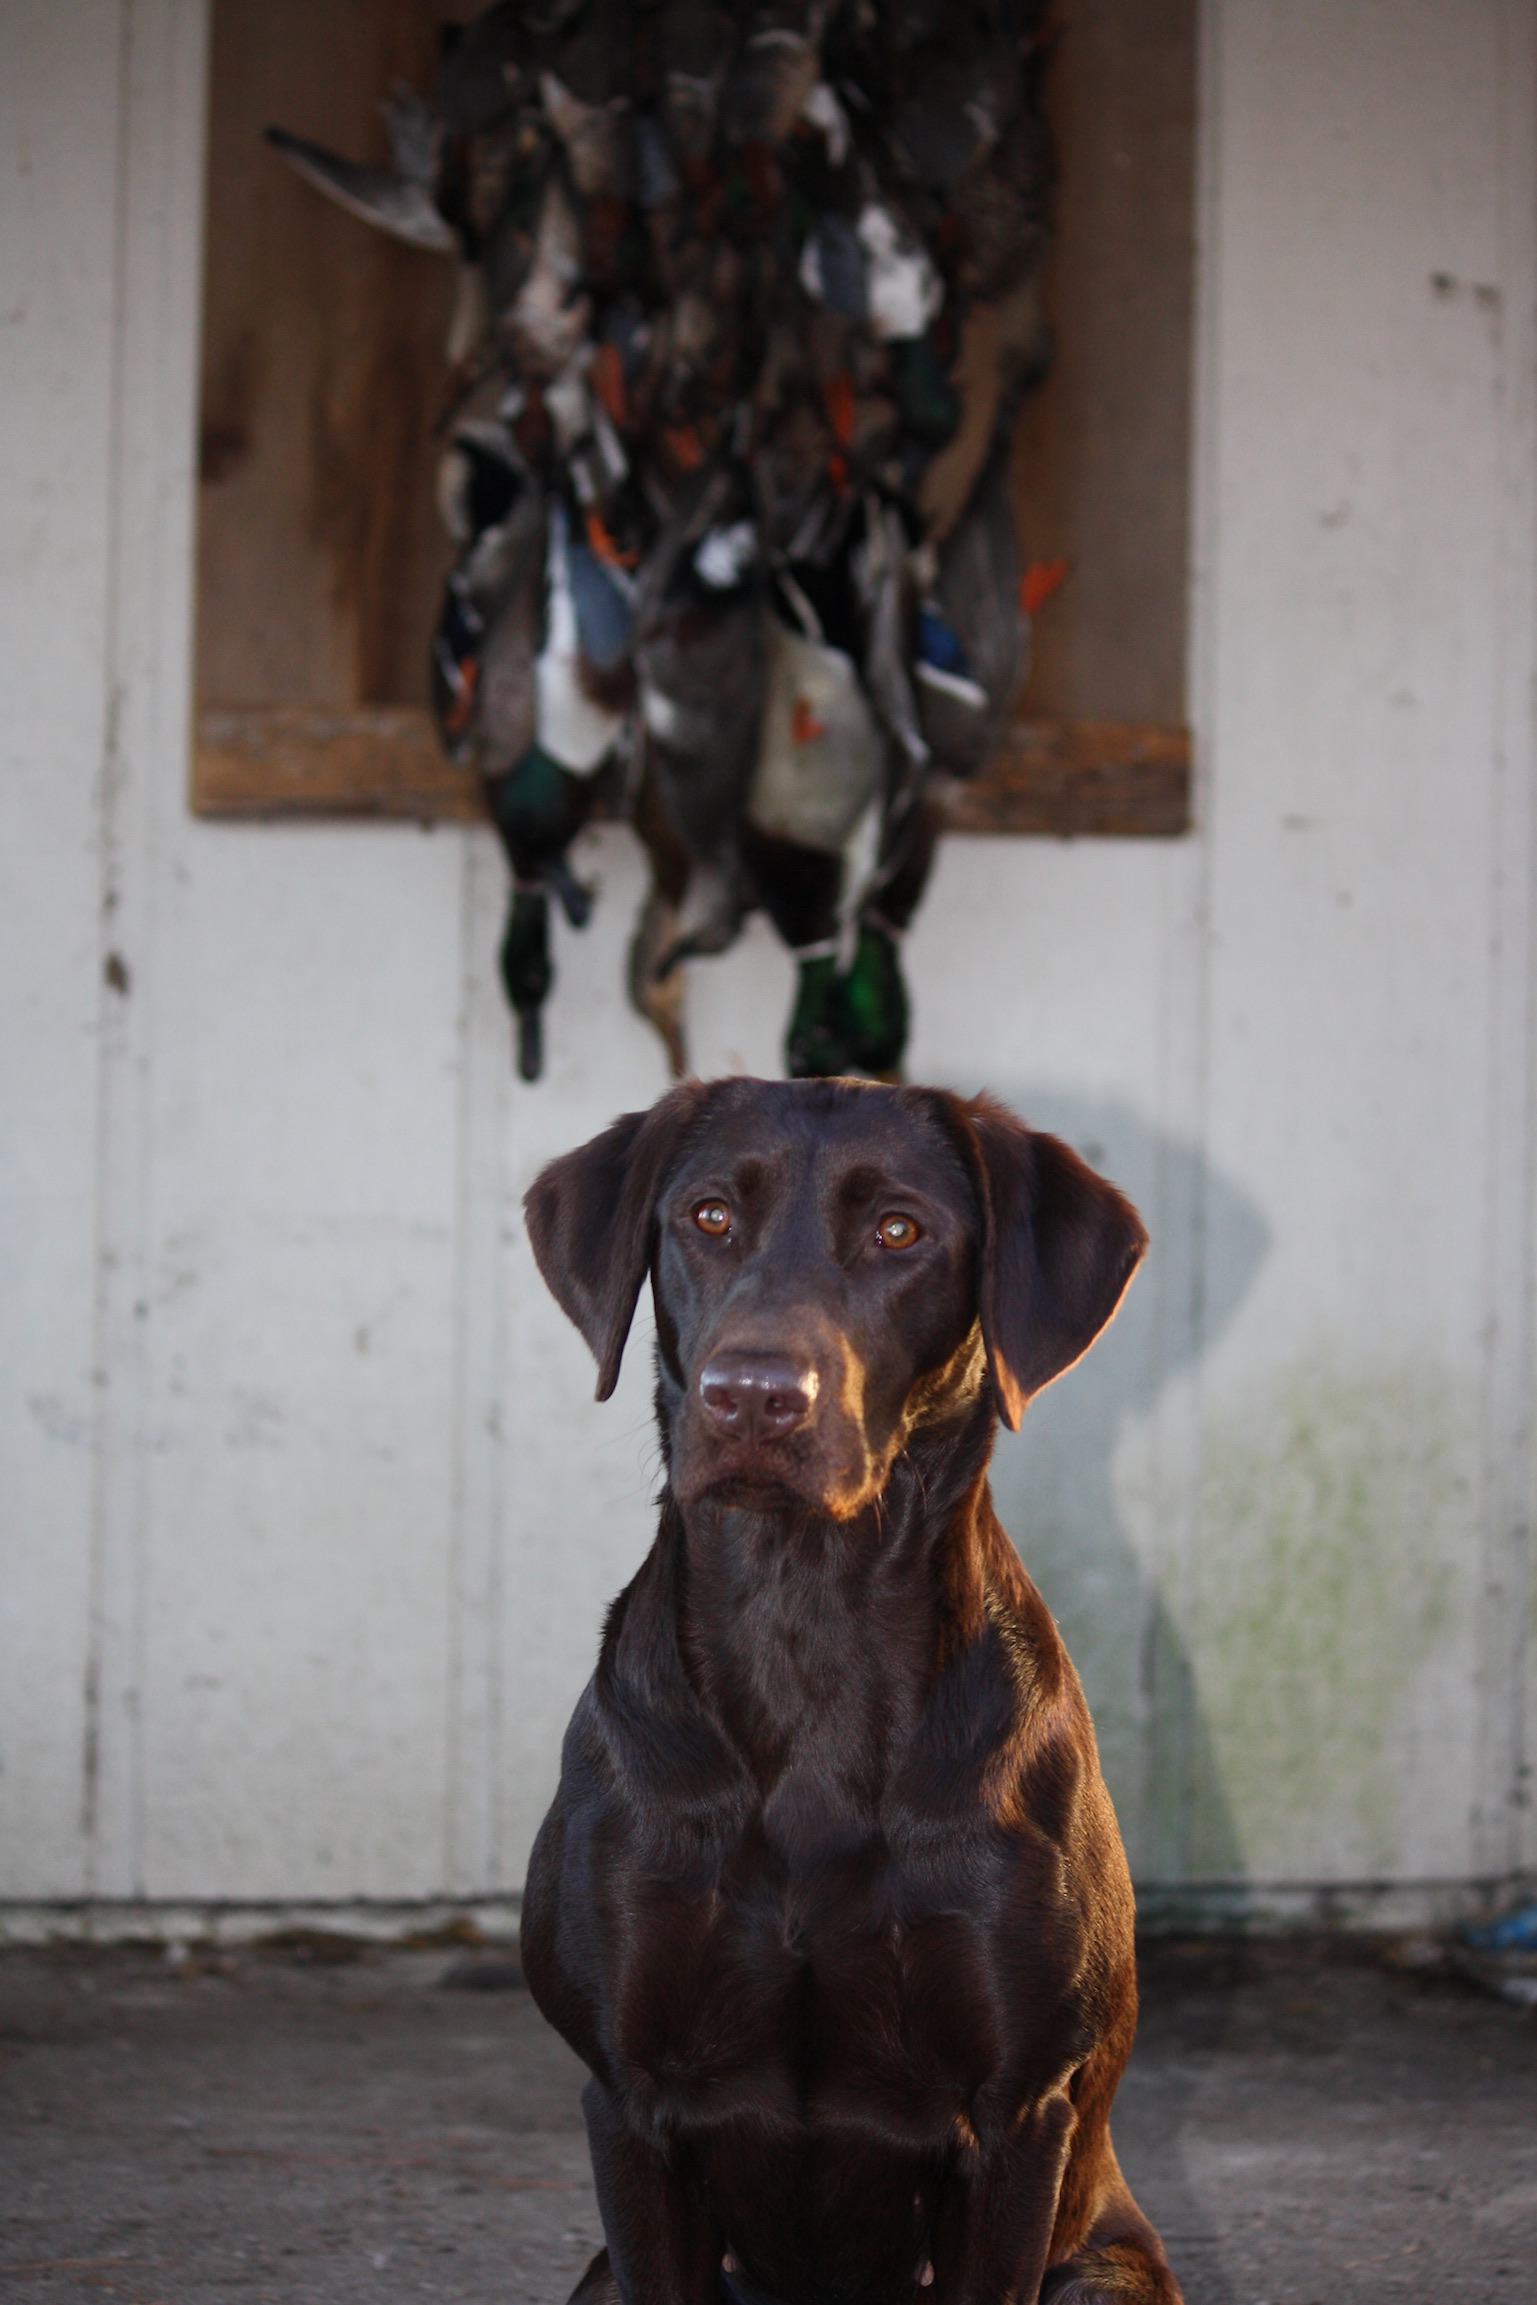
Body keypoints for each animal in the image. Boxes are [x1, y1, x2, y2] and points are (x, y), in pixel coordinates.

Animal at [523, 1078, 1189, 2305]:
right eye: (707, 1216)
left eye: (898, 1230)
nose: (749, 1398)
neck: (806, 1627)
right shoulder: (628, 2102)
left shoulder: (1014, 2120)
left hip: (1102, 2269)